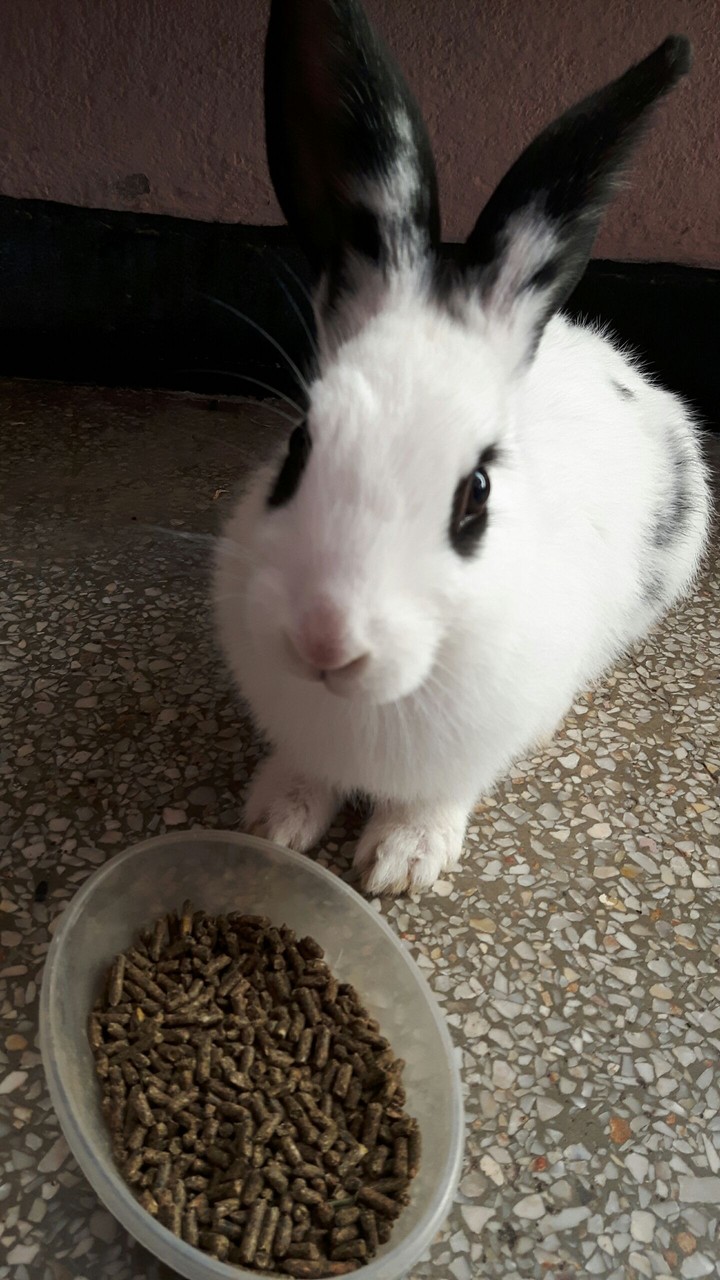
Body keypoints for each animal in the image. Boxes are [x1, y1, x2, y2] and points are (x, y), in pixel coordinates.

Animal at [214, 0, 711, 896]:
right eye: (299, 446)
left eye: (475, 493)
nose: (326, 640)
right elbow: (304, 773)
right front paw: (277, 822)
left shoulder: (468, 752)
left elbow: (437, 795)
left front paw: (402, 863)